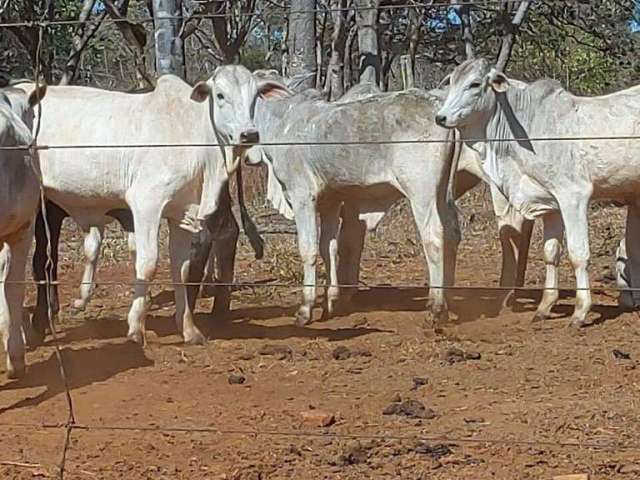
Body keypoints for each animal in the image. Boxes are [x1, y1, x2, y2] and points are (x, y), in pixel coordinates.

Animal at [21, 67, 288, 344]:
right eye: (220, 95)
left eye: (255, 96)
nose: (249, 134)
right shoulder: (146, 205)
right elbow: (147, 263)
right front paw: (135, 327)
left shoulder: (181, 213)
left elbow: (180, 269)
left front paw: (189, 329)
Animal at [438, 57, 640, 326]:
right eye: (451, 81)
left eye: (475, 84)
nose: (440, 117)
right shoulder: (550, 203)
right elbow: (551, 253)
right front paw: (545, 306)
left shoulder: (573, 196)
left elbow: (578, 254)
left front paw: (580, 312)